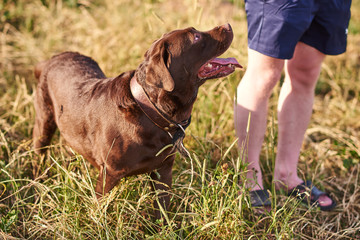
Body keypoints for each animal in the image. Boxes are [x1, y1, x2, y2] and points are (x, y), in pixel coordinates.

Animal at [34, 23, 242, 218]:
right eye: (196, 37)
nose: (228, 25)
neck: (150, 110)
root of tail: (53, 58)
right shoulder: (109, 173)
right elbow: (100, 209)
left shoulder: (163, 169)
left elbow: (162, 209)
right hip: (44, 121)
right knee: (40, 150)